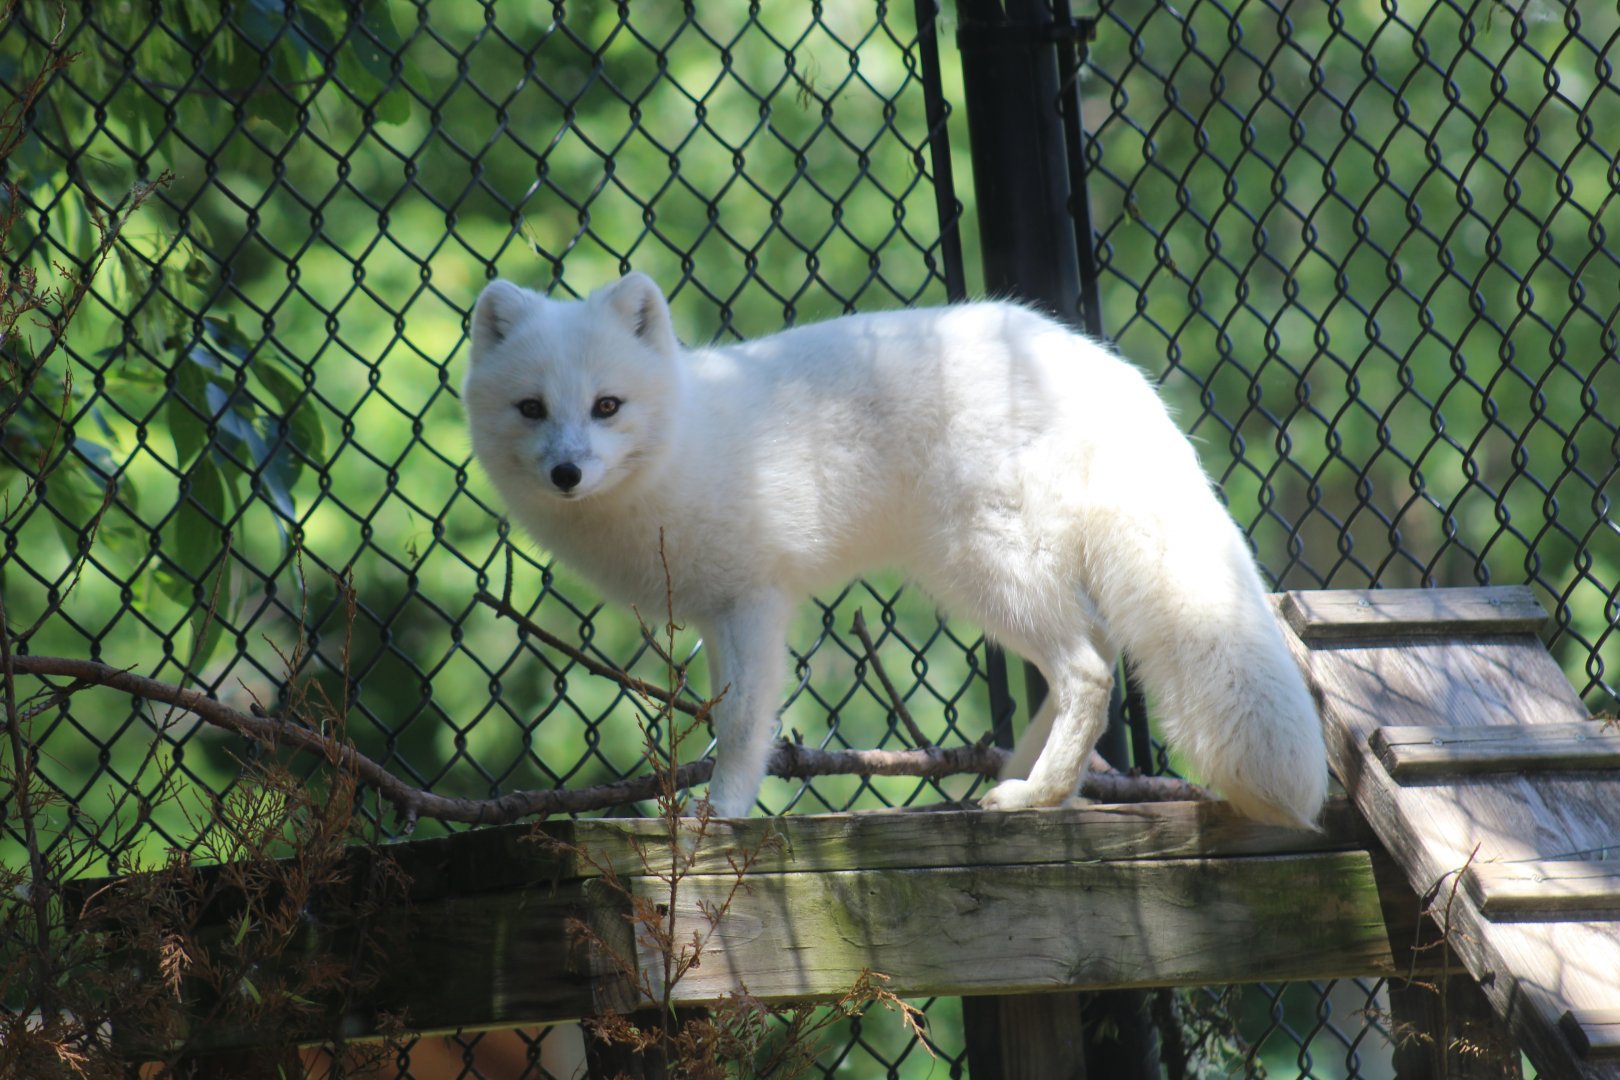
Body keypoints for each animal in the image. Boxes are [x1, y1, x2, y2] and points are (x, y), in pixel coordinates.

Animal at [462, 273, 1328, 827]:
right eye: (532, 409)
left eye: (607, 406)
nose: (567, 473)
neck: (684, 445)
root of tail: (1095, 362)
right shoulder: (712, 616)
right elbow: (724, 715)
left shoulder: (756, 602)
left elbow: (741, 725)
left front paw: (724, 813)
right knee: (1097, 654)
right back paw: (1033, 778)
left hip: (984, 570)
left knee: (1088, 668)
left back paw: (1036, 796)